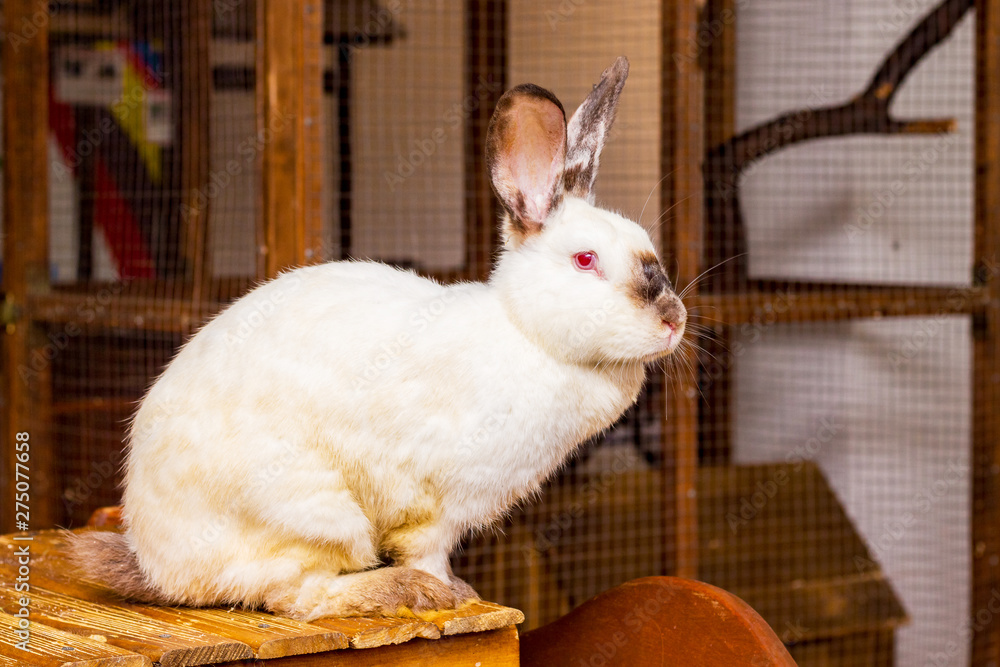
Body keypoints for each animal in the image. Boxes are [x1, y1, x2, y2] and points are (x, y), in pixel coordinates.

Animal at [70, 55, 687, 621]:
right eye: (585, 260)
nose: (674, 320)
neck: (525, 331)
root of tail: (159, 565)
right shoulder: (437, 502)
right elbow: (426, 549)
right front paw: (452, 592)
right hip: (317, 515)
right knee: (297, 597)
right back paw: (397, 591)